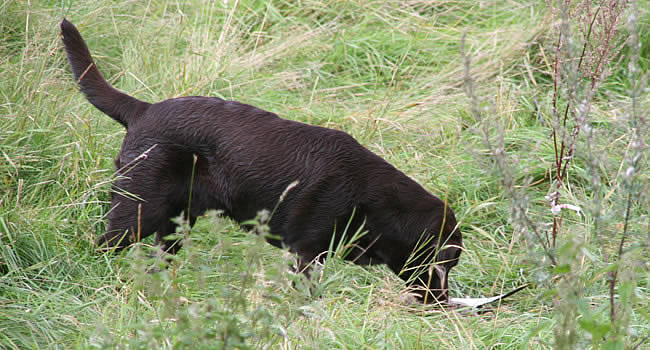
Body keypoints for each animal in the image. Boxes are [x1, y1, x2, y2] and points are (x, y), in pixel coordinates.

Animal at [58, 17, 458, 302]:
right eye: (446, 264)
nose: (442, 303)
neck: (371, 198)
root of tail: (142, 110)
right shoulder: (307, 252)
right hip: (138, 210)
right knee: (103, 245)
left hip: (175, 220)